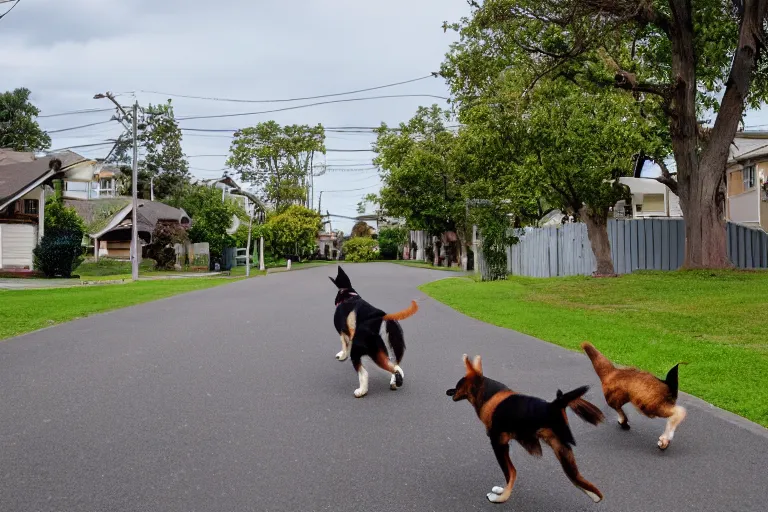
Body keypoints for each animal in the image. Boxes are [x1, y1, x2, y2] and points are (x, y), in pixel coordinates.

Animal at [328, 266, 416, 398]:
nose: (335, 301)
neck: (350, 296)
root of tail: (382, 318)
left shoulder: (342, 333)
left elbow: (344, 345)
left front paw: (342, 355)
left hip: (369, 351)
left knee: (366, 373)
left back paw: (361, 391)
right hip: (390, 347)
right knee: (396, 366)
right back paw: (394, 383)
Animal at [448, 354, 604, 506]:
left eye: (458, 385)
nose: (448, 391)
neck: (487, 393)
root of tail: (554, 405)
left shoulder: (498, 443)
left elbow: (511, 473)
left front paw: (502, 497)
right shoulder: (505, 443)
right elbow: (510, 474)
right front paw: (502, 491)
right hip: (563, 451)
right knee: (587, 485)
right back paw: (595, 496)